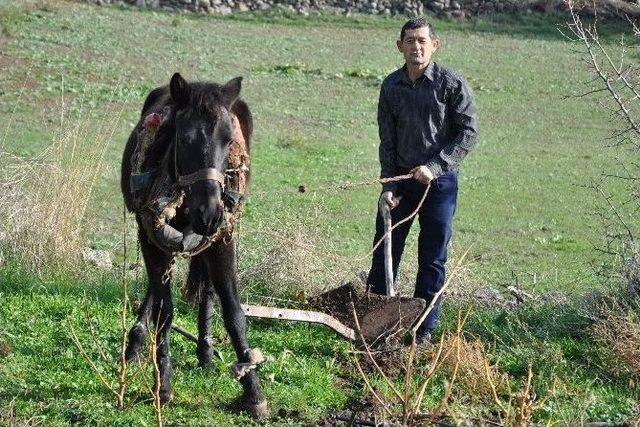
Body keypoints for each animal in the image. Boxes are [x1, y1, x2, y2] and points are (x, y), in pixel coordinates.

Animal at [121, 72, 266, 418]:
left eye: (228, 140)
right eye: (185, 139)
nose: (209, 214)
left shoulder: (222, 240)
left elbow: (234, 313)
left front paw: (253, 390)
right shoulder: (149, 233)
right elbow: (165, 311)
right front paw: (163, 383)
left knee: (206, 288)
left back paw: (204, 350)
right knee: (156, 287)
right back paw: (137, 342)